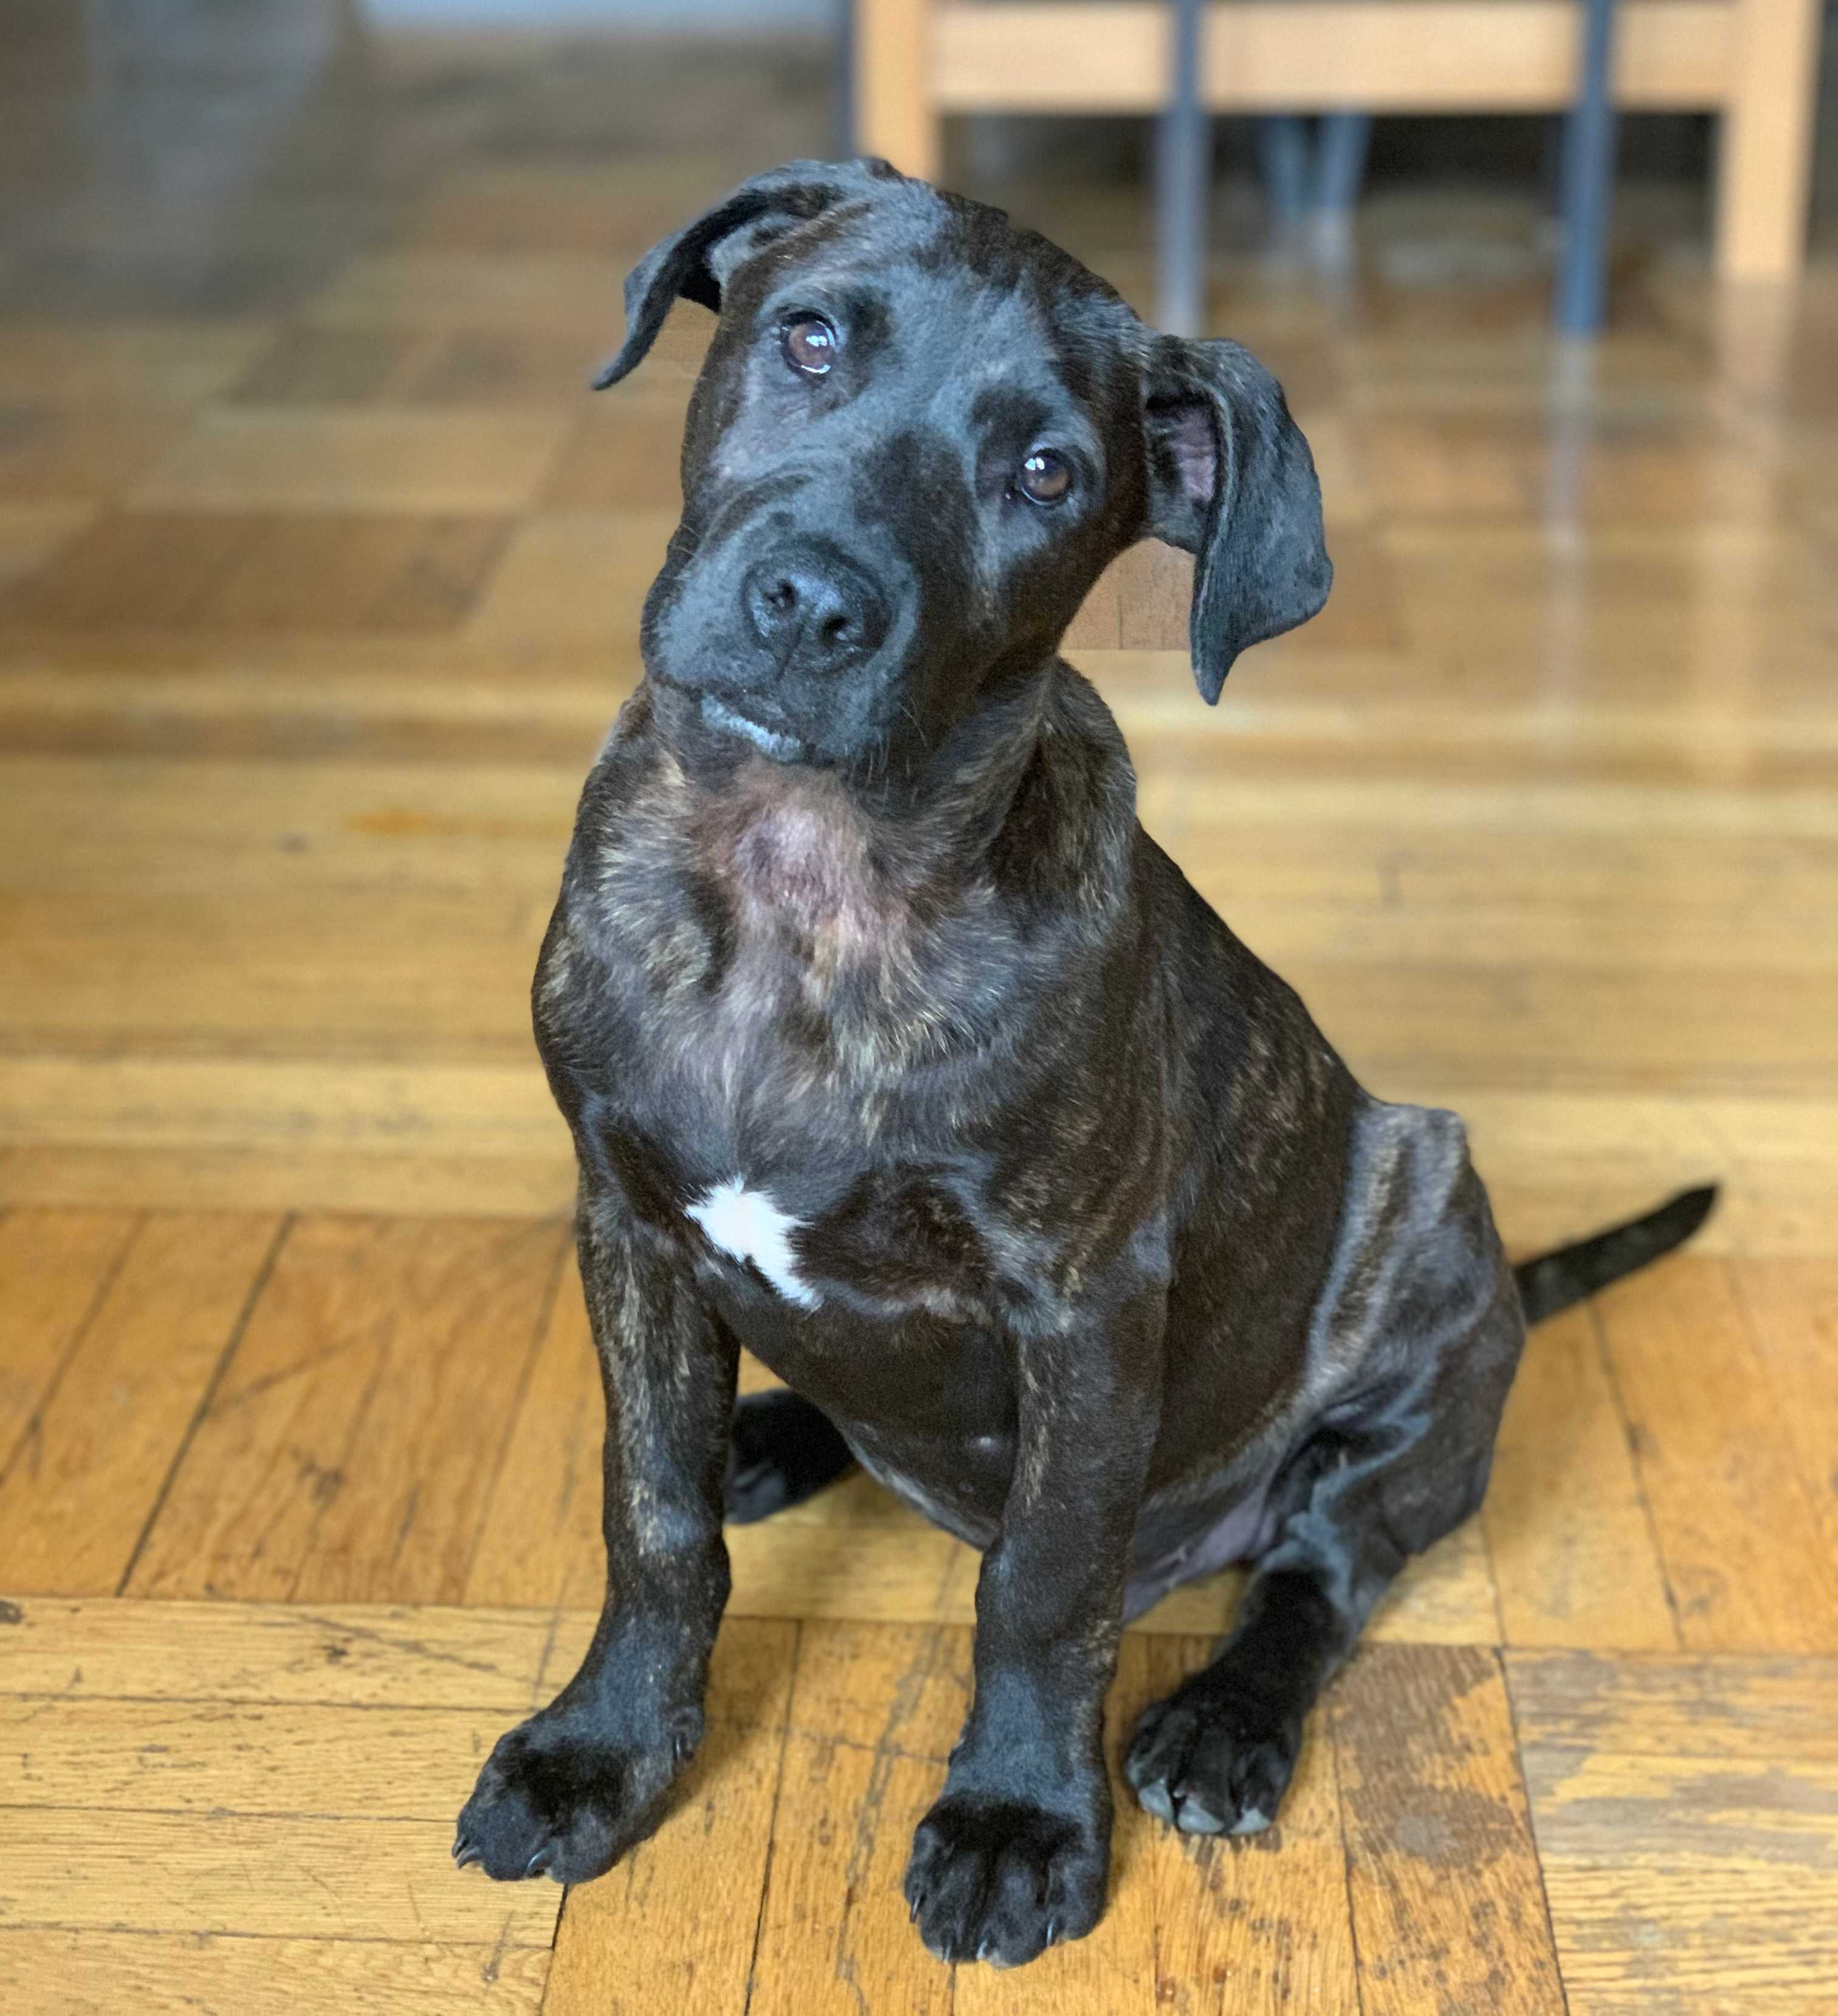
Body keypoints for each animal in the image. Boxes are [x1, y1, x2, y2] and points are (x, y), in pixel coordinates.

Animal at [451, 161, 1717, 1967]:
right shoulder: (624, 1224)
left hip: (1427, 1227)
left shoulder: (1086, 1302)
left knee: (1319, 1563)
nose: (812, 604)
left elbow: (1044, 1585)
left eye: (1046, 473)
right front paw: (603, 1750)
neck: (803, 885)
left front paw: (1016, 1817)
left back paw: (1223, 1720)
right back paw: (774, 1429)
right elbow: (654, 1513)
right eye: (809, 337)